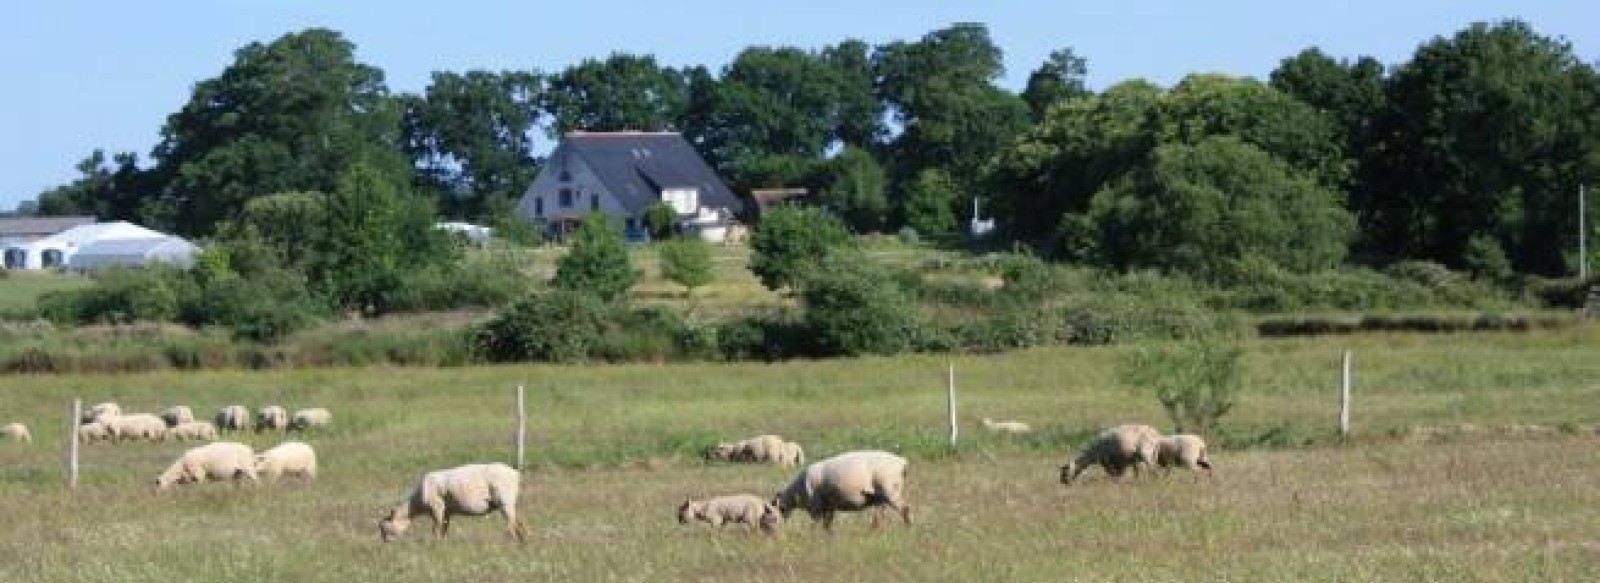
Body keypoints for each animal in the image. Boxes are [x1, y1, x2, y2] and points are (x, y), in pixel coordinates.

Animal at [376, 461, 521, 544]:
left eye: (384, 528)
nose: (386, 544)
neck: (415, 504)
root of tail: (515, 473)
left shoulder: (437, 507)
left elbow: (436, 527)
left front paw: (435, 543)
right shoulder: (447, 511)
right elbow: (444, 528)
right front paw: (443, 542)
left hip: (505, 500)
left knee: (511, 523)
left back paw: (511, 542)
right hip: (509, 502)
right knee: (517, 522)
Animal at [774, 448, 915, 531]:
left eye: (778, 510)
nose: (776, 532)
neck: (796, 494)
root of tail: (902, 462)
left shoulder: (816, 506)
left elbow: (815, 524)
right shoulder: (829, 506)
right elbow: (827, 524)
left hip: (890, 489)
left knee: (905, 509)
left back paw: (908, 529)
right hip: (880, 496)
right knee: (879, 516)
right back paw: (874, 531)